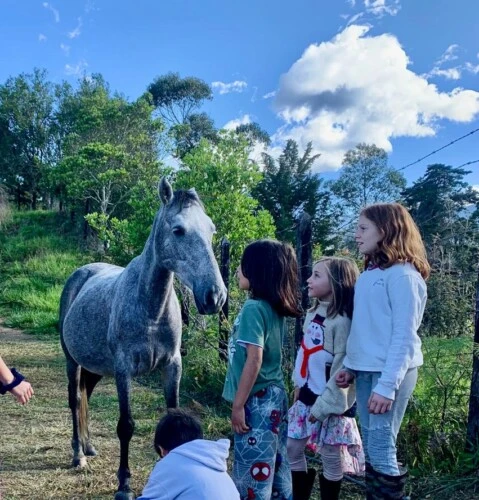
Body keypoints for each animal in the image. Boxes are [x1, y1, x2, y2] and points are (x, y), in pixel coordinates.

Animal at [59, 178, 228, 498]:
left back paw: (89, 446)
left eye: (211, 230)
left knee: (85, 395)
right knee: (75, 400)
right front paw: (124, 484)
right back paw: (78, 455)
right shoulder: (123, 370)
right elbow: (125, 425)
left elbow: (173, 419)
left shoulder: (173, 365)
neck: (150, 308)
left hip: (96, 368)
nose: (215, 296)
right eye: (178, 230)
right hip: (72, 361)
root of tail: (81, 273)